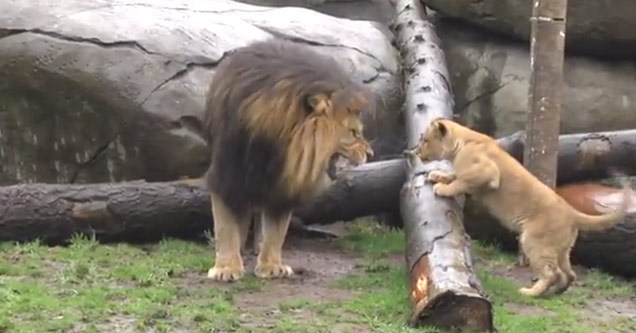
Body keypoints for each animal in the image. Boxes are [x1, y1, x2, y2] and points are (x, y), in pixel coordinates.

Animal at [202, 40, 372, 282]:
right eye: (354, 133)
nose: (371, 153)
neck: (281, 146)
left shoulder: (284, 186)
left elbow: (276, 231)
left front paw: (271, 267)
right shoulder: (227, 175)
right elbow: (226, 225)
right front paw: (226, 268)